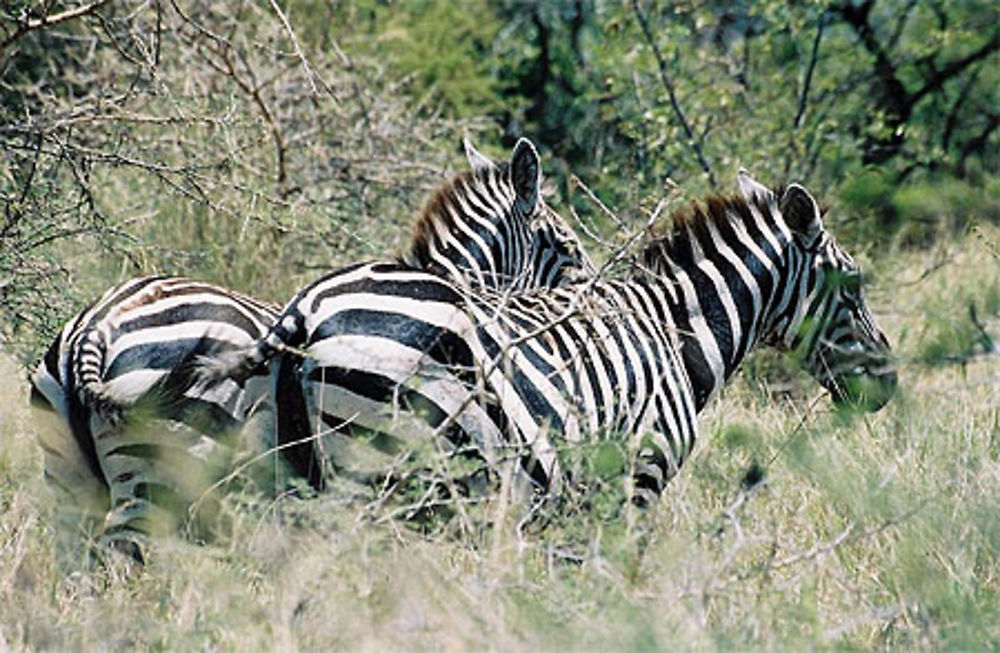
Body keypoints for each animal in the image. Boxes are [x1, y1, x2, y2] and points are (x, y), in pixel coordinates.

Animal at [203, 169, 900, 504]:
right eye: (853, 285)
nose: (889, 384)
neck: (673, 331)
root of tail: (305, 307)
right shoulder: (637, 478)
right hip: (375, 466)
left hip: (300, 472)